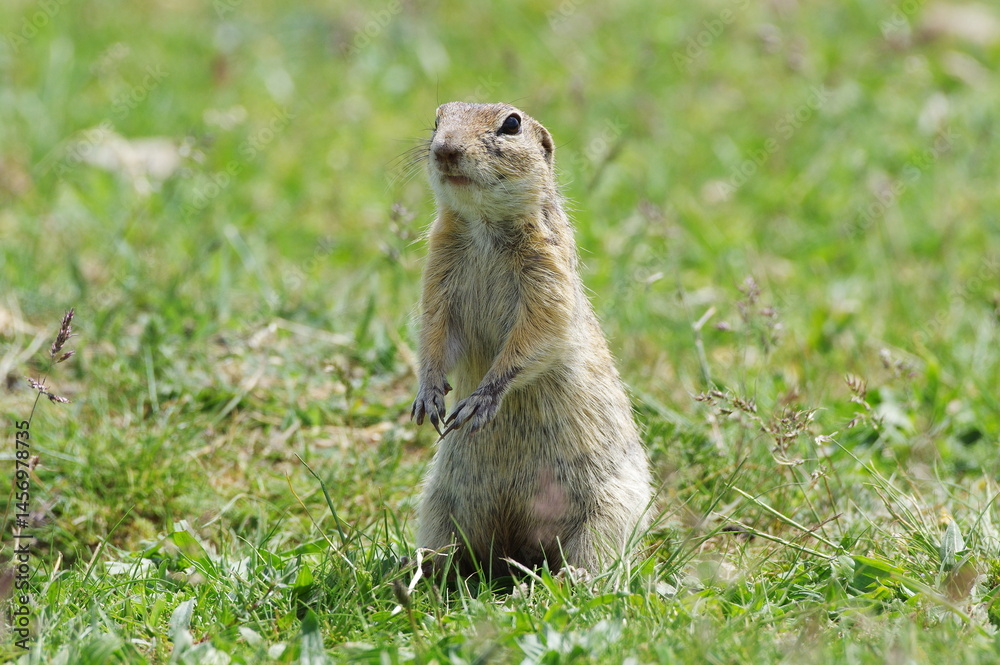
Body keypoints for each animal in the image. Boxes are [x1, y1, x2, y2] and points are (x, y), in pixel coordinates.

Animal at [410, 101, 653, 577]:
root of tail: (518, 546)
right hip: (439, 505)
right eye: (437, 118)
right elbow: (434, 332)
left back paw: (576, 577)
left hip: (611, 510)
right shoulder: (438, 272)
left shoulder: (547, 271)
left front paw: (480, 400)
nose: (445, 149)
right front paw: (428, 395)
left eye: (511, 124)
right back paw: (425, 569)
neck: (483, 226)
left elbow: (540, 333)